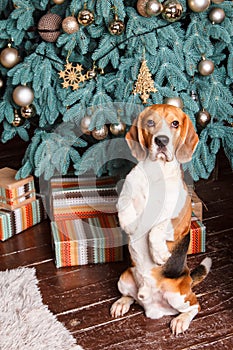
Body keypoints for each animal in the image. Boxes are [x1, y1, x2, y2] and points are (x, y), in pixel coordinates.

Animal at [110, 104, 211, 336]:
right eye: (150, 122)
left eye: (175, 123)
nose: (161, 141)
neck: (157, 171)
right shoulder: (127, 193)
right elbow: (124, 204)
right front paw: (129, 224)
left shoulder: (180, 218)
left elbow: (158, 226)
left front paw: (158, 252)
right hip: (124, 278)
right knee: (131, 297)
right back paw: (122, 302)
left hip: (177, 294)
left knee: (195, 306)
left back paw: (181, 320)